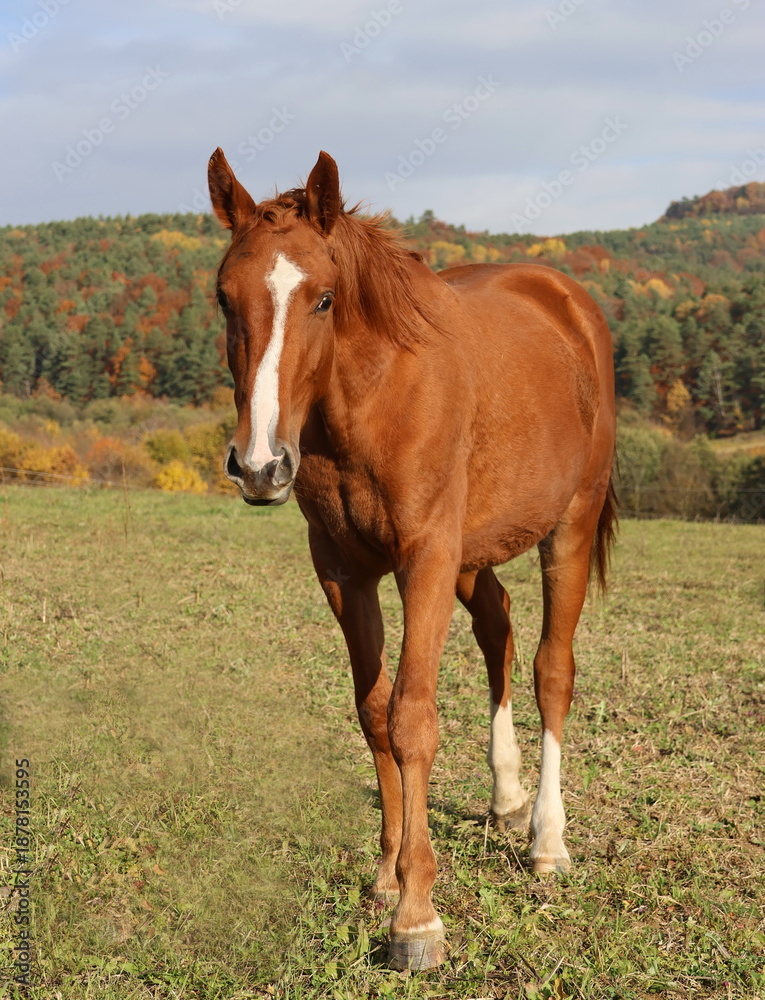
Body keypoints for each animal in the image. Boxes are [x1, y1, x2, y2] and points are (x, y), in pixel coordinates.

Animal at [207, 148, 617, 970]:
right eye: (223, 296)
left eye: (323, 298)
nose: (260, 464)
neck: (374, 397)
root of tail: (567, 301)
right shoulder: (344, 570)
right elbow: (372, 715)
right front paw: (386, 877)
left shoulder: (424, 558)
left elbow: (412, 719)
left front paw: (417, 914)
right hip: (473, 555)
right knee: (497, 628)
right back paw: (505, 799)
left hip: (568, 525)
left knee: (551, 670)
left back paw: (547, 840)